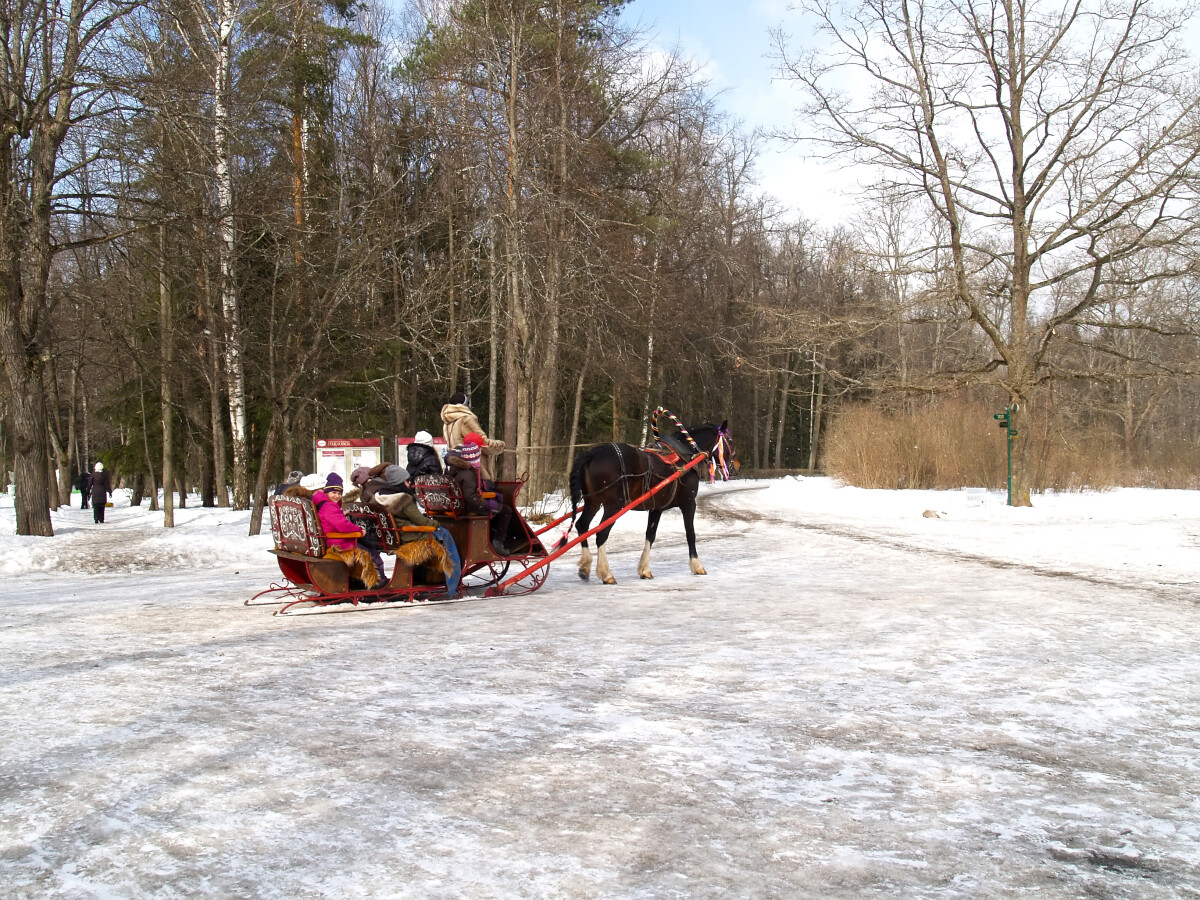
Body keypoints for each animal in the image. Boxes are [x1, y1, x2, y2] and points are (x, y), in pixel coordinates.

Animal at [564, 422, 739, 585]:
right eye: (730, 440)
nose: (736, 466)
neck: (684, 455)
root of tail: (592, 454)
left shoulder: (657, 508)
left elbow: (650, 535)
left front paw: (645, 570)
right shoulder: (688, 503)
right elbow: (690, 533)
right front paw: (697, 565)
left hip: (593, 502)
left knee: (582, 525)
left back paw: (585, 566)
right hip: (613, 506)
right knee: (601, 534)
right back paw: (606, 573)